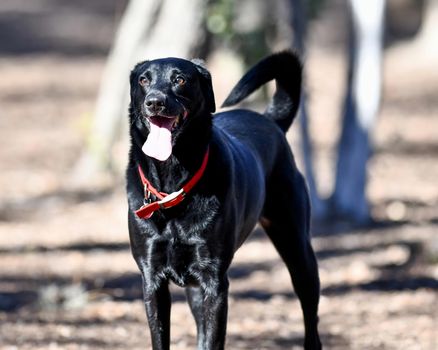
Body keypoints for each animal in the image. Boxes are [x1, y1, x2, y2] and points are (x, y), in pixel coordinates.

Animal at [126, 50, 322, 348]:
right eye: (144, 80)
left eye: (180, 79)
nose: (155, 102)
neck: (173, 188)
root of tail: (270, 121)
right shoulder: (152, 280)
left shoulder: (215, 281)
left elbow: (212, 340)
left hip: (297, 248)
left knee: (310, 314)